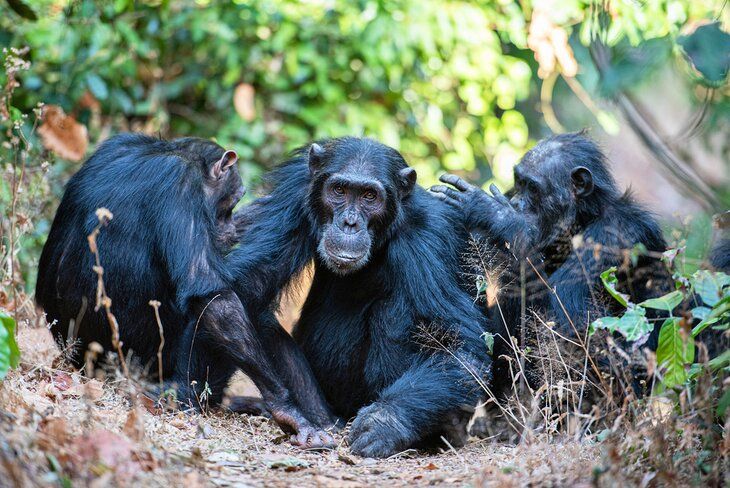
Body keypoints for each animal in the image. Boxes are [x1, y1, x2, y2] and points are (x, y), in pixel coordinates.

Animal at [36, 132, 336, 446]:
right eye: (233, 199)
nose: (229, 226)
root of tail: (81, 363)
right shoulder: (181, 187)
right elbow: (210, 294)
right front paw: (287, 408)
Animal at [230, 136, 492, 458]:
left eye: (369, 196)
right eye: (339, 191)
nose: (350, 223)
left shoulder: (433, 235)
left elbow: (459, 348)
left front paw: (385, 423)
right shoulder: (292, 196)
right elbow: (246, 290)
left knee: (394, 313)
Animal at [432, 132, 672, 396]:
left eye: (533, 188)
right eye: (519, 183)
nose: (516, 203)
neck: (581, 222)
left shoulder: (614, 235)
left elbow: (574, 325)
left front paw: (501, 219)